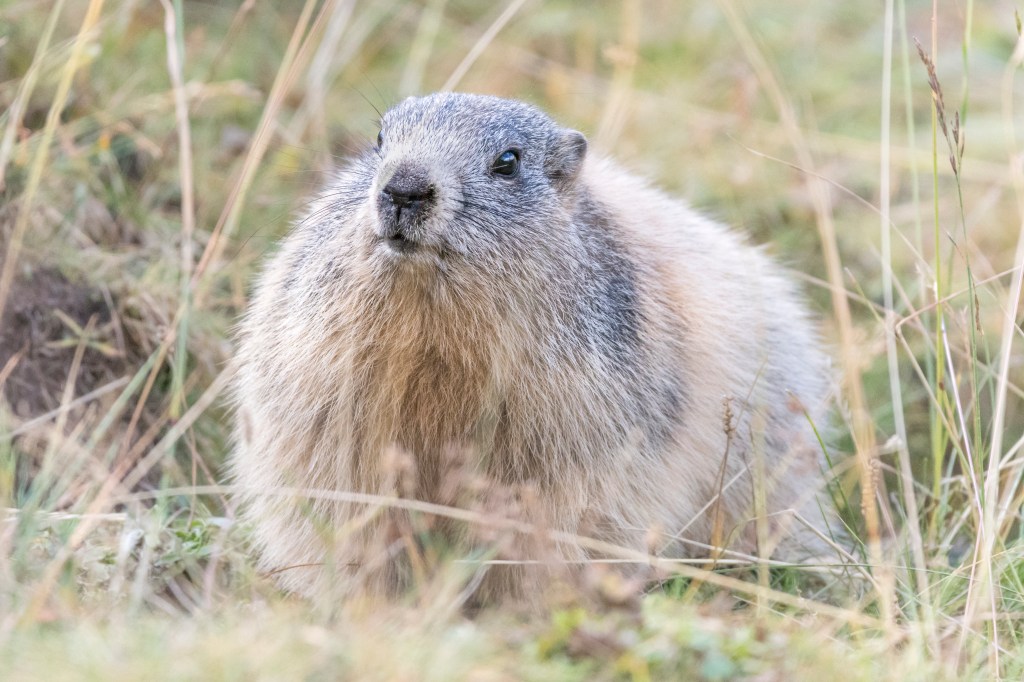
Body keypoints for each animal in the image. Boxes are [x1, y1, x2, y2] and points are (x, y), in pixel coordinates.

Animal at [230, 92, 841, 599]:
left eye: (508, 161)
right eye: (380, 139)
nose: (403, 187)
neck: (433, 334)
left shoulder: (580, 425)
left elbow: (555, 516)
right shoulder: (320, 392)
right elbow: (343, 495)